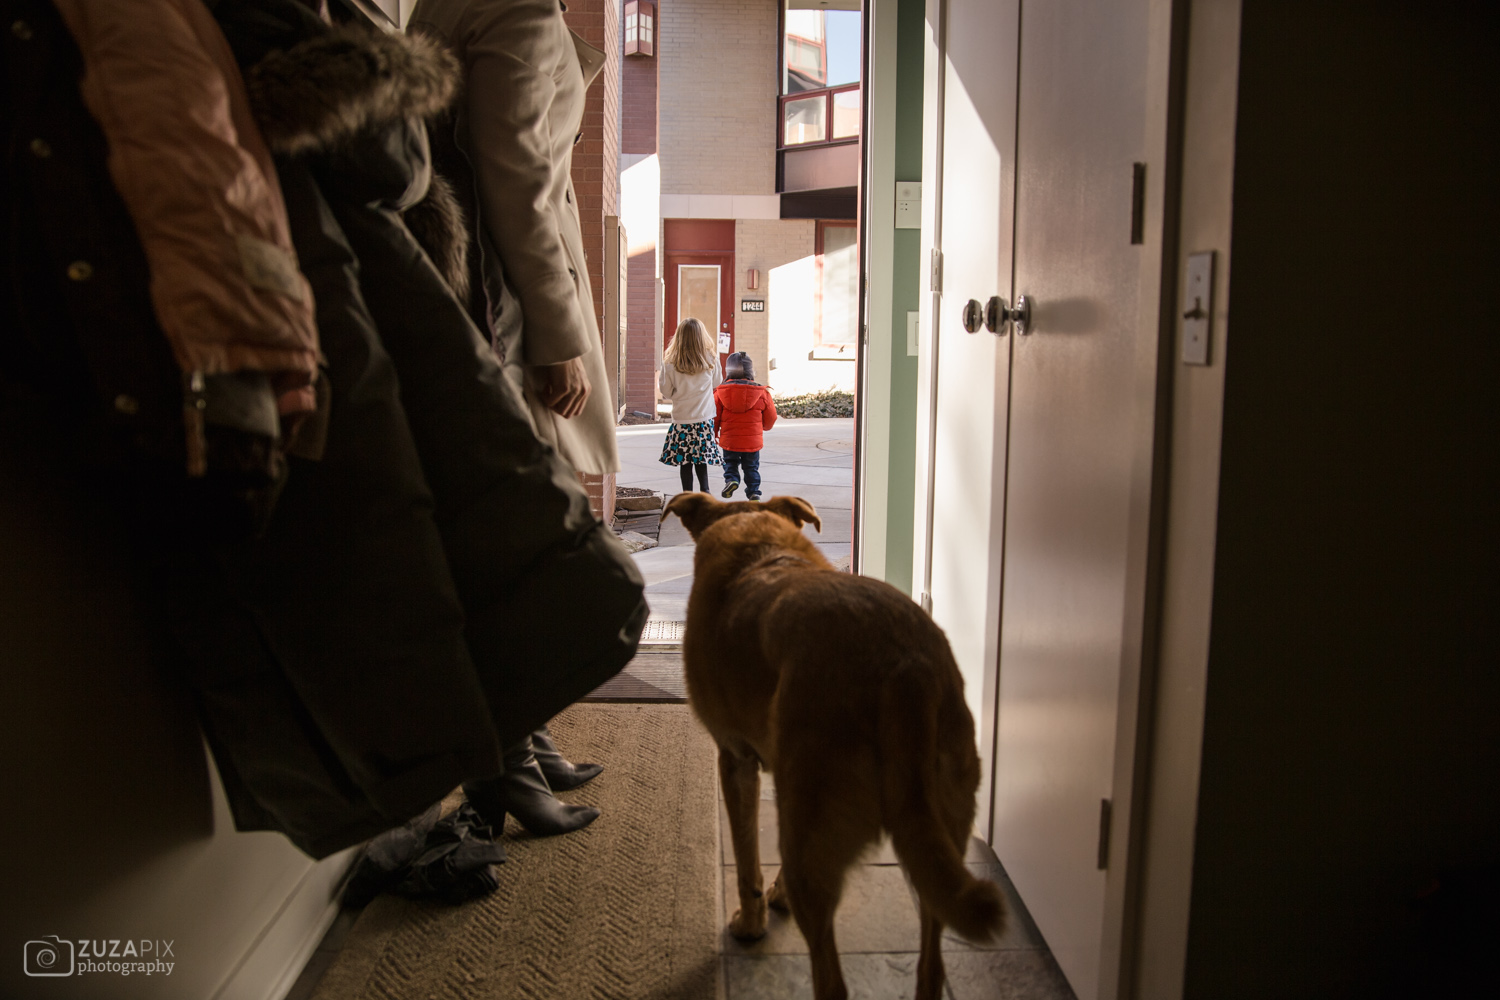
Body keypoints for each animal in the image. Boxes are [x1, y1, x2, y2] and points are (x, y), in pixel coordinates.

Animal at [666, 494, 996, 1000]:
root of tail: (903, 667)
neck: (754, 537)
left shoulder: (736, 759)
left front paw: (752, 922)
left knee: (832, 980)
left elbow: (747, 862)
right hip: (937, 830)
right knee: (931, 963)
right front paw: (775, 898)